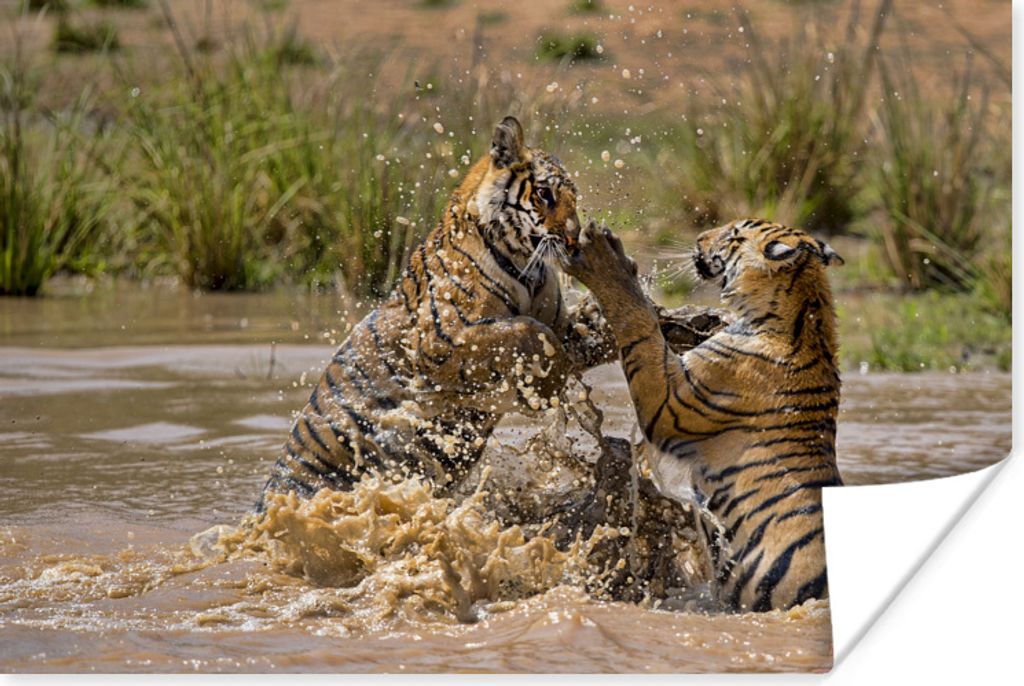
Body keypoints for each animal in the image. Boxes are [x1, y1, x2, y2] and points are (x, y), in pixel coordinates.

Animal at [257, 116, 614, 510]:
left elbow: (572, 333)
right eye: (544, 194)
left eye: (573, 198)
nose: (574, 240)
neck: (528, 266)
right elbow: (528, 332)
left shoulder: (558, 322)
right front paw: (548, 386)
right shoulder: (441, 341)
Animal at [565, 217, 845, 612]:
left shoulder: (668, 403)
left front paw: (606, 258)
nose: (699, 238)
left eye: (732, 234)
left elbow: (640, 325)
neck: (804, 316)